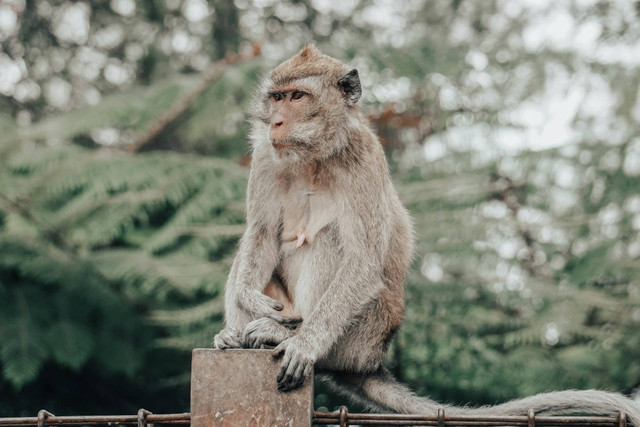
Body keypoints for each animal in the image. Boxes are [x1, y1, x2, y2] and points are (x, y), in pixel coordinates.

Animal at [214, 44, 640, 424]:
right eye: (277, 97)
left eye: (298, 96)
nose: (275, 122)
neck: (314, 157)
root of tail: (369, 360)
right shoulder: (265, 157)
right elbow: (262, 234)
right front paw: (247, 298)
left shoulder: (364, 156)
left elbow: (363, 259)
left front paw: (305, 344)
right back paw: (236, 336)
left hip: (360, 334)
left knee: (334, 241)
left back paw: (286, 333)